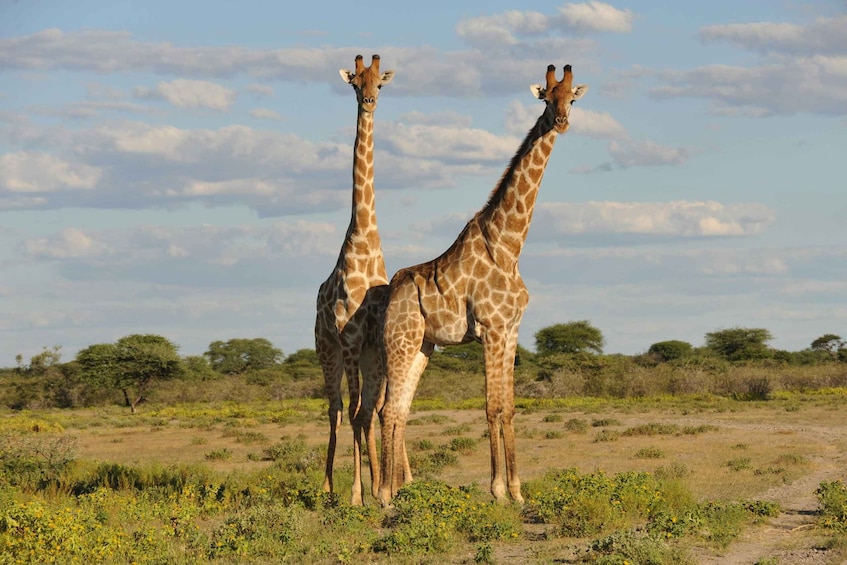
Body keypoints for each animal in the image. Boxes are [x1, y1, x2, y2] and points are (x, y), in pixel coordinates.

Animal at [376, 64, 588, 506]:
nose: (561, 122)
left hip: (423, 347)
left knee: (400, 409)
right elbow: (491, 407)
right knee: (387, 409)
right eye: (547, 99)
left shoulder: (511, 329)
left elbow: (508, 407)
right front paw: (497, 490)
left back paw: (399, 492)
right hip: (400, 341)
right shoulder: (490, 328)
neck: (508, 245)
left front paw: (518, 490)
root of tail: (390, 293)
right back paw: (384, 495)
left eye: (572, 99)